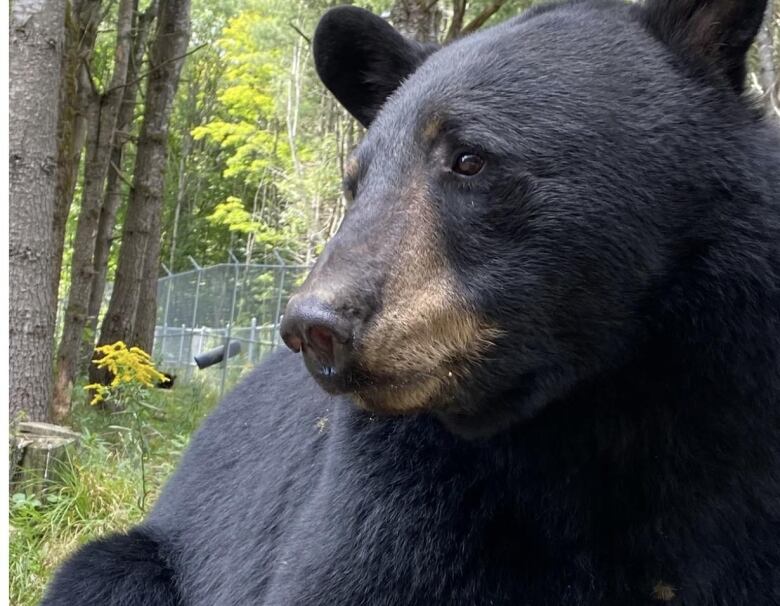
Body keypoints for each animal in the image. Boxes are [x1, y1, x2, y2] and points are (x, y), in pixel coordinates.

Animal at [44, 0, 780, 604]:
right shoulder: (399, 493)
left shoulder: (737, 461)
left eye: (469, 158)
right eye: (356, 181)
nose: (314, 326)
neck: (594, 407)